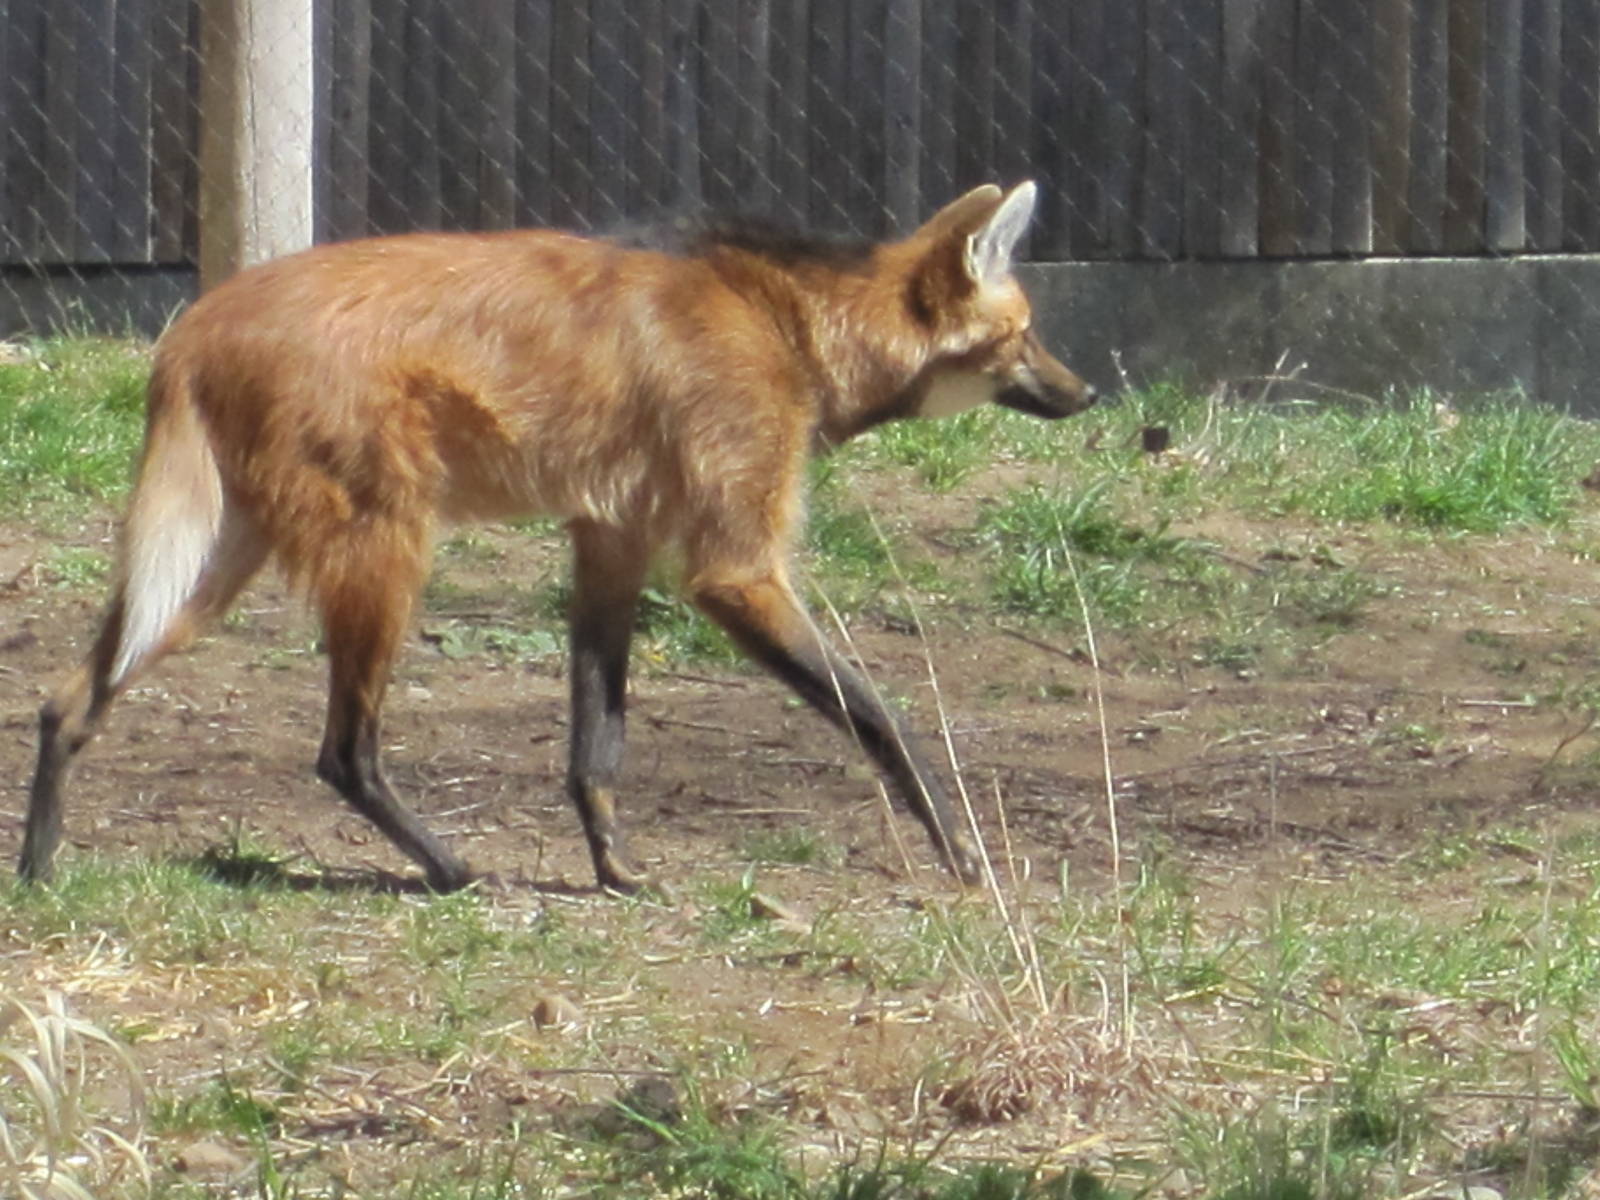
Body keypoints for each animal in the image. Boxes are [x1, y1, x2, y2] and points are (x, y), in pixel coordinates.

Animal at [19, 180, 1097, 892]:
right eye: (1025, 336)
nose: (1087, 392)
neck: (786, 323)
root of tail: (194, 323)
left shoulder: (612, 540)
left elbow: (596, 739)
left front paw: (615, 868)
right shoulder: (732, 569)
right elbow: (882, 715)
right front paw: (962, 851)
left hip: (213, 564)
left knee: (66, 698)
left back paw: (36, 868)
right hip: (387, 547)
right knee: (343, 751)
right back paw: (451, 869)